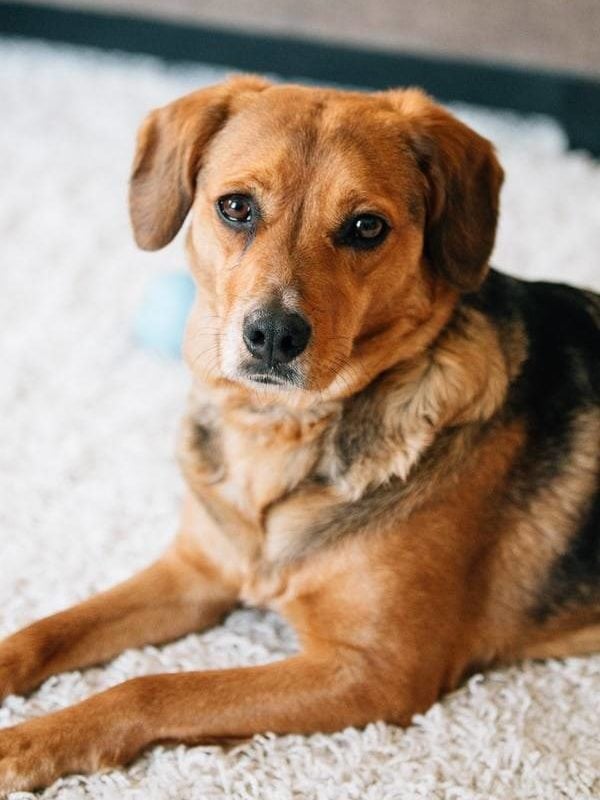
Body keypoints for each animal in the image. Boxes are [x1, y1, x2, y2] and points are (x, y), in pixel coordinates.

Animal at [1, 76, 600, 792]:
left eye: (367, 227)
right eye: (236, 207)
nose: (273, 336)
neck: (278, 432)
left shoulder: (374, 670)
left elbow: (152, 688)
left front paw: (27, 742)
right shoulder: (195, 572)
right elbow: (41, 634)